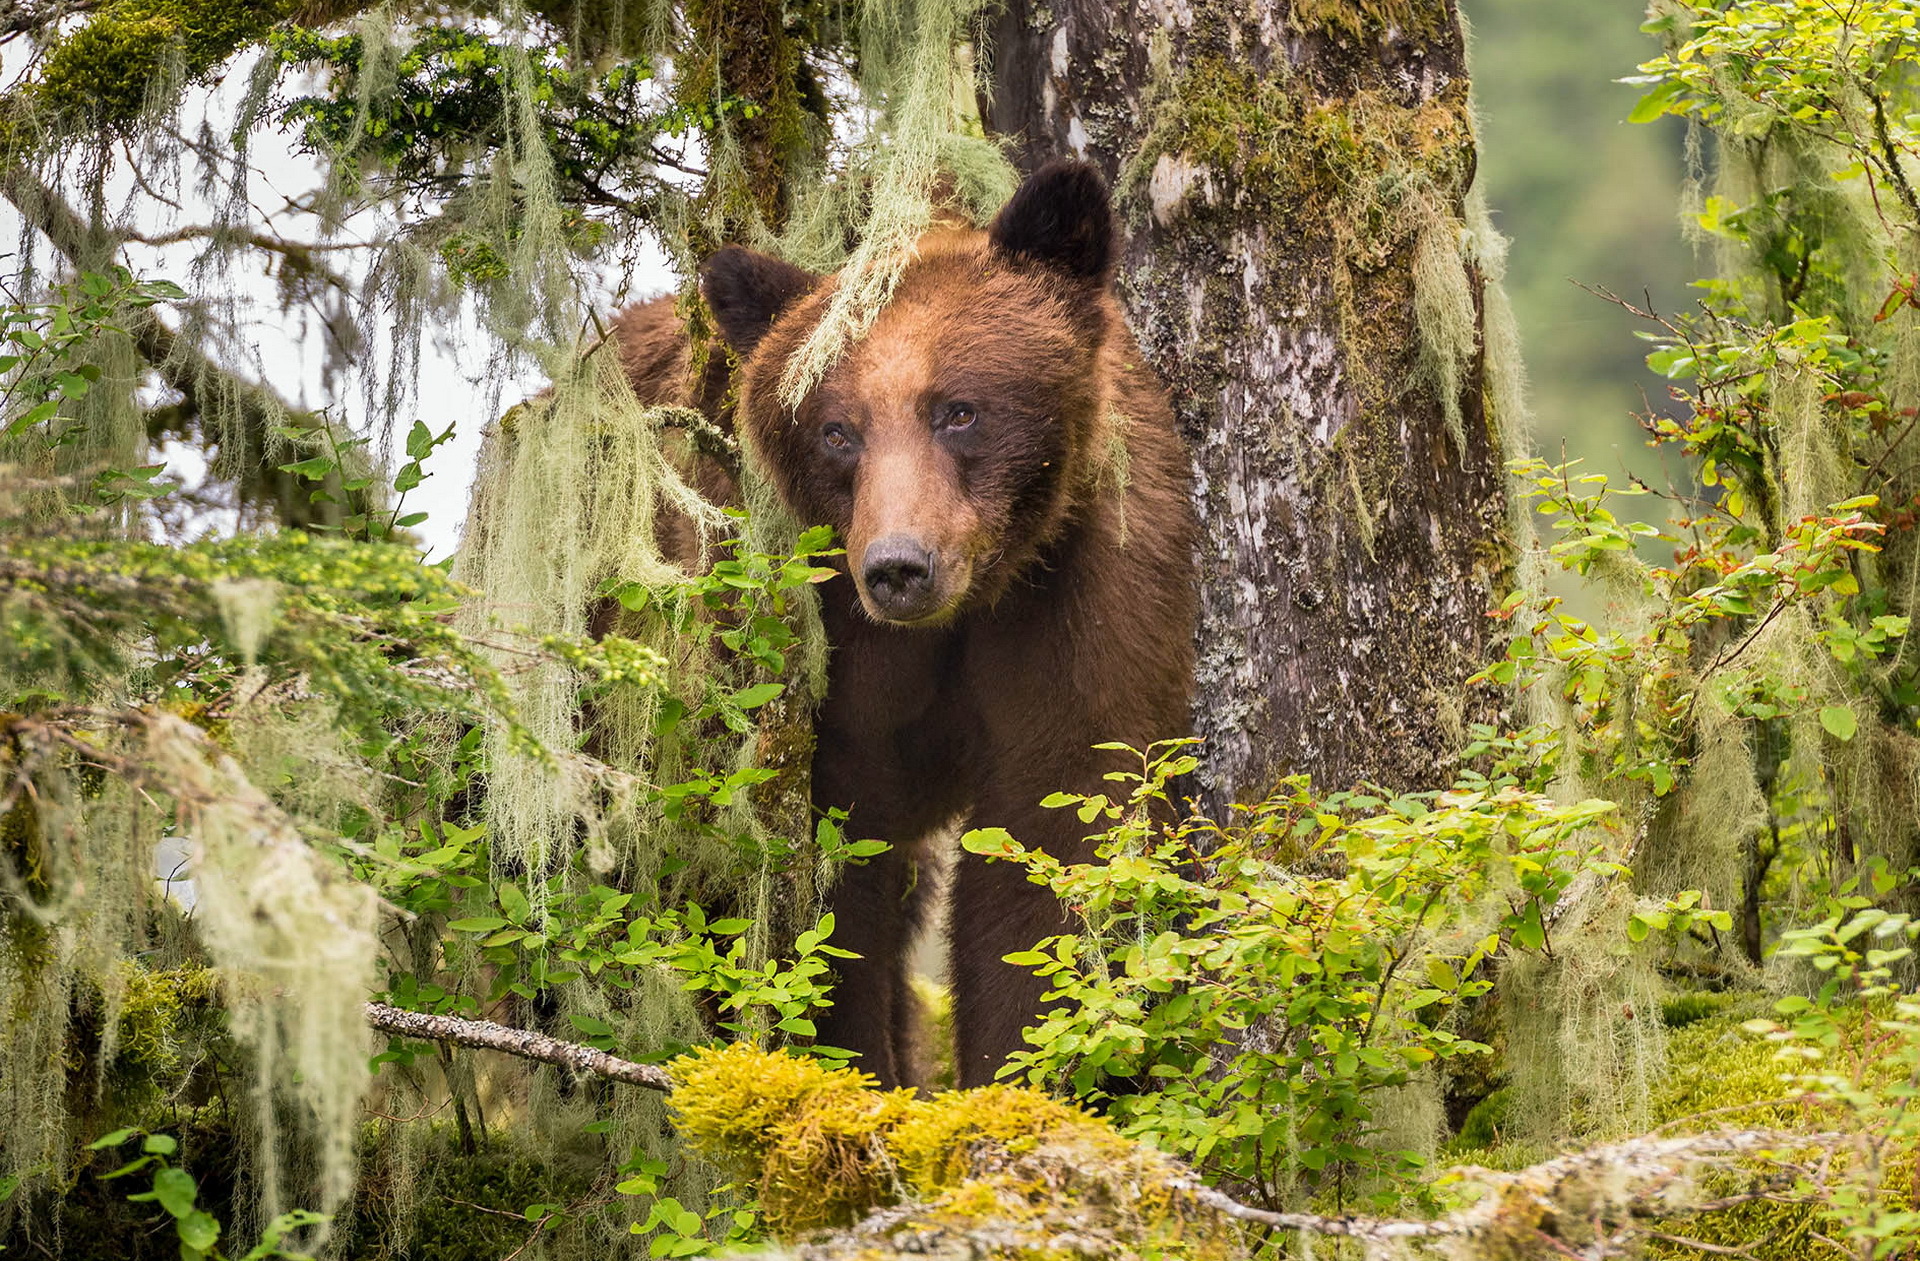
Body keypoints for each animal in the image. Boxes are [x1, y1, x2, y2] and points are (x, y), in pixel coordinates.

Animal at [614, 160, 1190, 1082]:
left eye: (959, 409)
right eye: (836, 431)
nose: (898, 567)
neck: (970, 603)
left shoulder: (1085, 589)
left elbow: (1057, 834)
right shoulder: (805, 651)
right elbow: (822, 897)